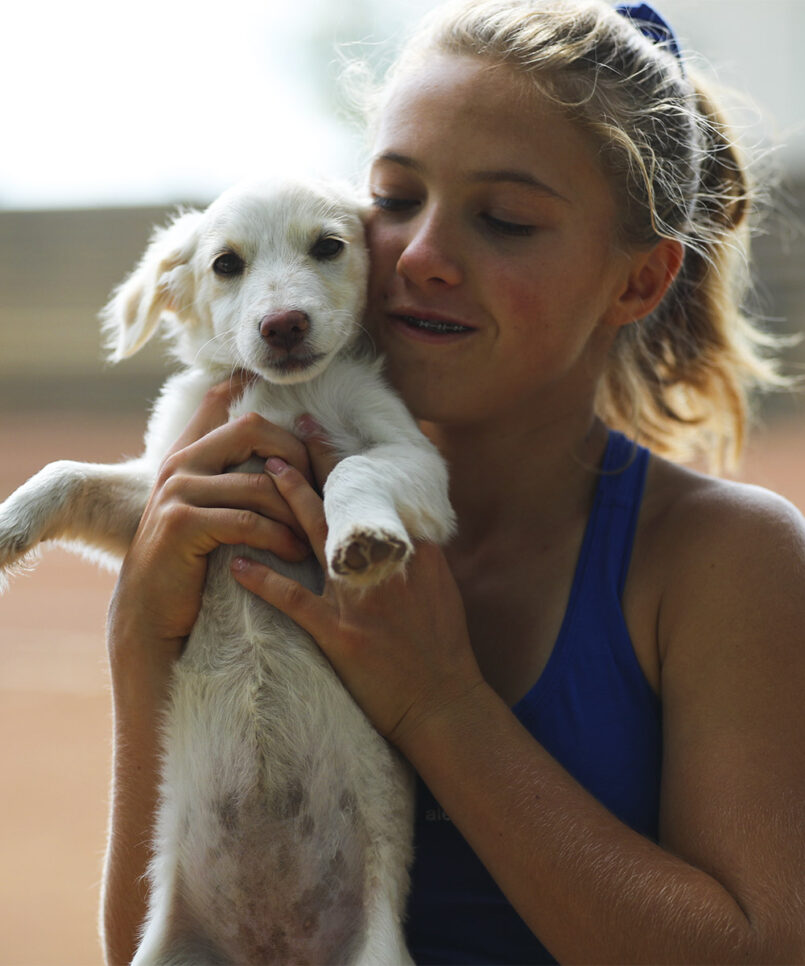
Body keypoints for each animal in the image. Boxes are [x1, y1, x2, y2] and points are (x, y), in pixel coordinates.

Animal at [0, 182, 452, 966]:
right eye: (225, 265)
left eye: (328, 246)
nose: (283, 325)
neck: (280, 395)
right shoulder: (165, 488)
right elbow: (67, 473)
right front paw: (3, 526)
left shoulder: (417, 461)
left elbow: (354, 469)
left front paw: (361, 537)